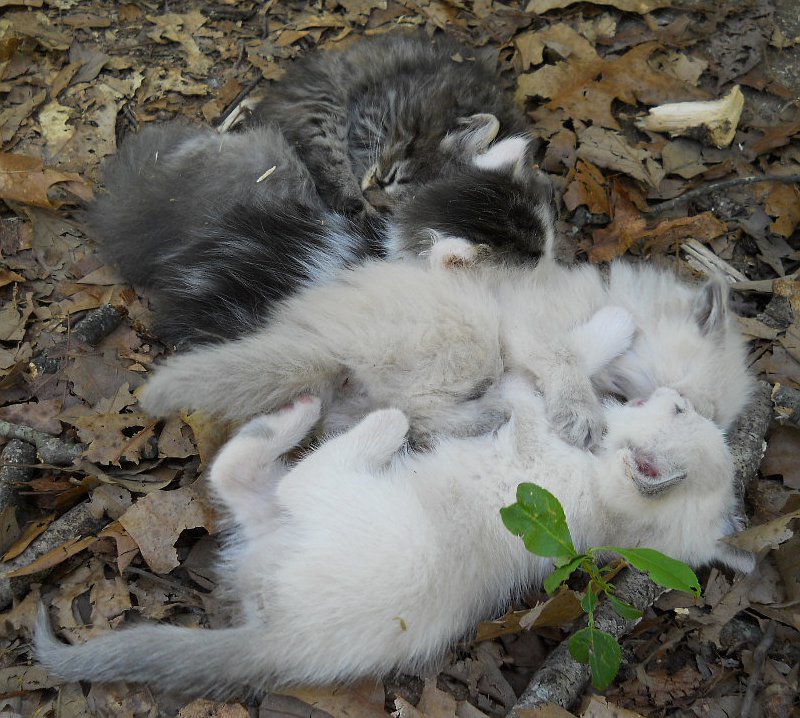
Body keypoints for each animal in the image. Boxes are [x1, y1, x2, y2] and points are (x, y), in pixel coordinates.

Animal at [36, 329, 754, 695]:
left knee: (274, 471)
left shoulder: (537, 447)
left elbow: (532, 392)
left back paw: (349, 416)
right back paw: (298, 414)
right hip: (277, 517)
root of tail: (281, 639)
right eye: (686, 409)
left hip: (335, 500)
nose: (668, 393)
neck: (611, 512)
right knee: (238, 476)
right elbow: (561, 372)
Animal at [138, 254, 754, 447]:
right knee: (422, 411)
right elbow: (565, 359)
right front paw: (580, 413)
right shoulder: (526, 327)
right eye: (683, 406)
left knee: (405, 417)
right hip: (468, 335)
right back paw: (491, 412)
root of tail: (318, 343)